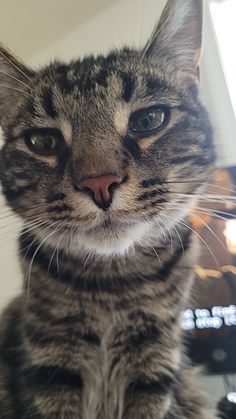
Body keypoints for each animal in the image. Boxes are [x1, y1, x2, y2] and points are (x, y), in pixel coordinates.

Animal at [0, 0, 216, 418]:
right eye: (43, 141)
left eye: (148, 120)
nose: (99, 183)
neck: (114, 284)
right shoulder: (51, 361)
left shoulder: (155, 358)